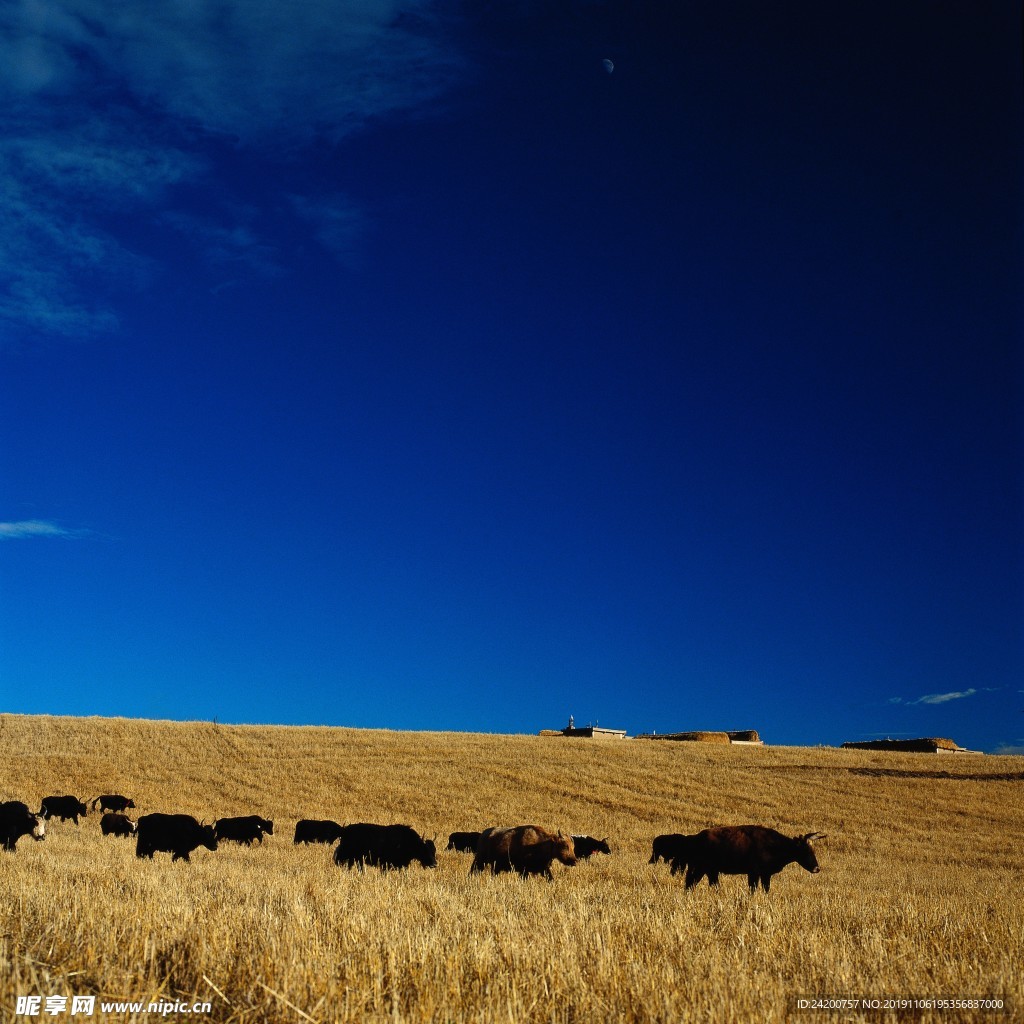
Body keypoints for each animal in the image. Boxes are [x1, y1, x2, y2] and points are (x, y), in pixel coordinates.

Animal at [675, 823, 827, 888]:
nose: (817, 868)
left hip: (709, 870)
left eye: (813, 850)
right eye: (805, 850)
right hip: (703, 868)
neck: (774, 845)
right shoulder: (754, 873)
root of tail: (694, 837)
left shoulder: (765, 874)